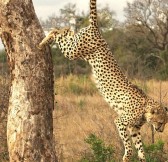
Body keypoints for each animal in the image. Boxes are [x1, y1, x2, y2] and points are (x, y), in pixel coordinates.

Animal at [38, 0, 168, 161]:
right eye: (161, 122)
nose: (161, 131)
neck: (145, 108)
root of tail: (97, 29)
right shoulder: (121, 122)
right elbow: (128, 143)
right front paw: (127, 156)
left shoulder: (134, 128)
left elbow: (139, 145)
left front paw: (142, 157)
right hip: (73, 51)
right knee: (57, 33)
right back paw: (44, 41)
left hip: (75, 45)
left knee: (66, 32)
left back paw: (60, 31)